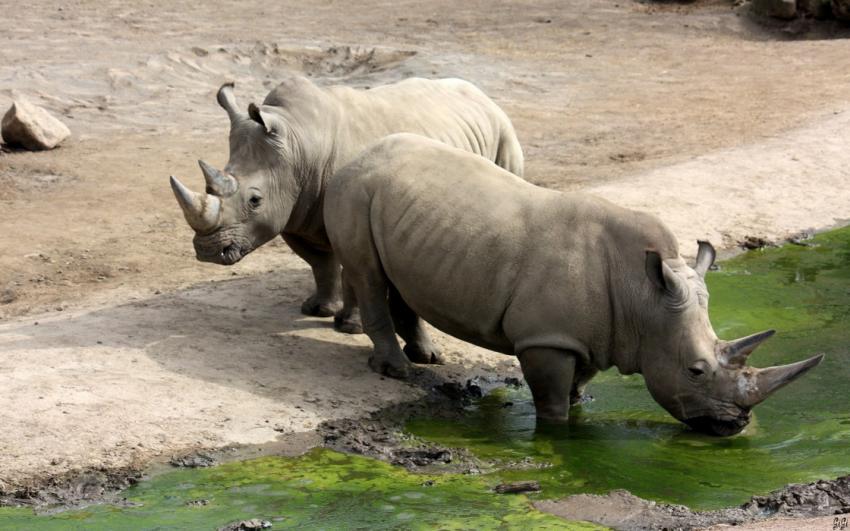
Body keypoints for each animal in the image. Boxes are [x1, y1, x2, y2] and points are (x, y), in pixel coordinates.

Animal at [169, 75, 523, 334]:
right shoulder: (291, 210)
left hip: (504, 132)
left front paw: (350, 327)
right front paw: (317, 309)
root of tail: (482, 95)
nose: (208, 252)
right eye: (207, 185)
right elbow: (320, 263)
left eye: (255, 200)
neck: (298, 146)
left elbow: (350, 272)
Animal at [323, 133, 824, 436]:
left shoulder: (590, 337)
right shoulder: (546, 339)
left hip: (391, 201)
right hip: (355, 190)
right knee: (368, 273)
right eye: (696, 371)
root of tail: (358, 154)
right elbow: (551, 400)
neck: (642, 298)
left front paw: (580, 406)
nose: (736, 424)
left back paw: (427, 358)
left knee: (395, 276)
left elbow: (579, 383)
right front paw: (558, 432)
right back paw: (398, 372)